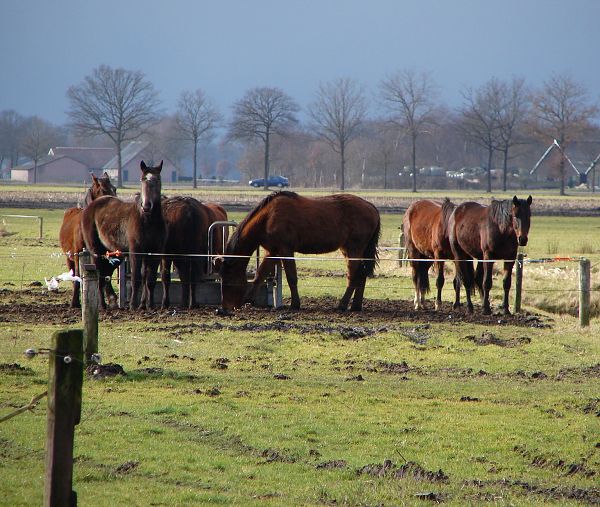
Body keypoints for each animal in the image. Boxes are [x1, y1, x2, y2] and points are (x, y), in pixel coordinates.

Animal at [59, 174, 118, 310]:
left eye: (115, 188)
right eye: (103, 190)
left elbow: (104, 277)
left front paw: (105, 301)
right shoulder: (77, 255)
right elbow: (78, 276)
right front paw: (75, 302)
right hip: (69, 258)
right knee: (74, 275)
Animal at [81, 161, 166, 312]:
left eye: (157, 179)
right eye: (142, 179)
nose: (146, 206)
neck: (147, 220)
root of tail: (92, 206)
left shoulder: (155, 253)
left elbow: (150, 279)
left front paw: (149, 306)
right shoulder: (135, 252)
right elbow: (136, 278)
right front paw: (133, 305)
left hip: (111, 253)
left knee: (106, 274)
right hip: (96, 251)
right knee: (100, 275)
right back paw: (102, 305)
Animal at [219, 192, 380, 316]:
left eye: (227, 278)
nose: (225, 307)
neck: (268, 217)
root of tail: (371, 206)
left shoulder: (285, 250)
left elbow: (291, 277)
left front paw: (295, 304)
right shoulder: (272, 251)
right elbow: (260, 274)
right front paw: (248, 299)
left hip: (353, 249)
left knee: (353, 276)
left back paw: (342, 304)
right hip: (351, 250)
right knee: (361, 275)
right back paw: (356, 306)